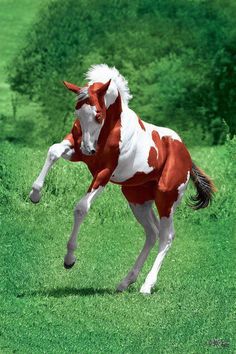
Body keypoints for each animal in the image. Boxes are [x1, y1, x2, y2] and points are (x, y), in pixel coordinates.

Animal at [29, 63, 216, 294]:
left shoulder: (104, 172)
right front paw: (35, 194)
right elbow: (53, 151)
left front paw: (69, 259)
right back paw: (126, 281)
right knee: (152, 233)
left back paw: (147, 286)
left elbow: (81, 208)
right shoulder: (75, 149)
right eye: (77, 112)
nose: (89, 148)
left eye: (98, 115)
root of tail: (187, 156)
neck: (111, 128)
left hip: (166, 197)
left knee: (166, 236)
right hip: (137, 199)